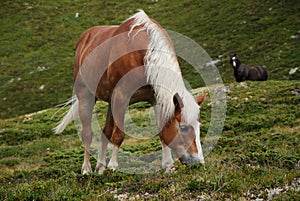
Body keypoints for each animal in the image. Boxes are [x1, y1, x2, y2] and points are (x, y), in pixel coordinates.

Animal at [54, 10, 206, 174]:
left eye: (199, 126)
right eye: (183, 127)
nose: (198, 162)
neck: (143, 56)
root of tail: (84, 38)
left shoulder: (156, 98)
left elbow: (161, 132)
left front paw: (168, 165)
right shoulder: (122, 97)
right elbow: (118, 135)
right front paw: (113, 166)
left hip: (110, 101)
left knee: (105, 132)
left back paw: (100, 167)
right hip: (86, 96)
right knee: (87, 134)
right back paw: (87, 169)